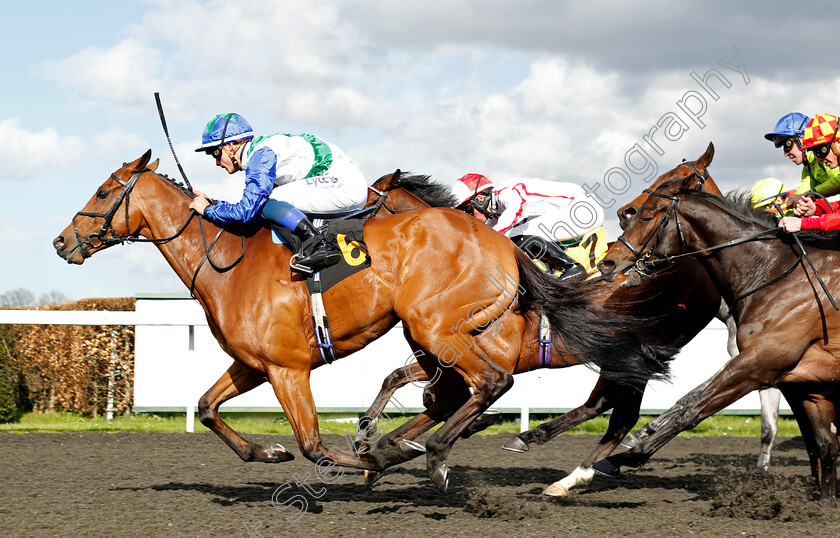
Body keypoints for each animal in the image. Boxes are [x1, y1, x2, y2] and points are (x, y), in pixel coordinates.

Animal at [54, 150, 668, 490]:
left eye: (105, 191)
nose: (62, 241)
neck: (229, 261)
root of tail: (499, 242)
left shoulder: (289, 368)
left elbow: (314, 444)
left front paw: (371, 456)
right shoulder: (255, 364)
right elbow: (206, 408)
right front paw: (269, 451)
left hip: (436, 327)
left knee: (495, 385)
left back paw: (441, 457)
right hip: (433, 335)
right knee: (469, 396)